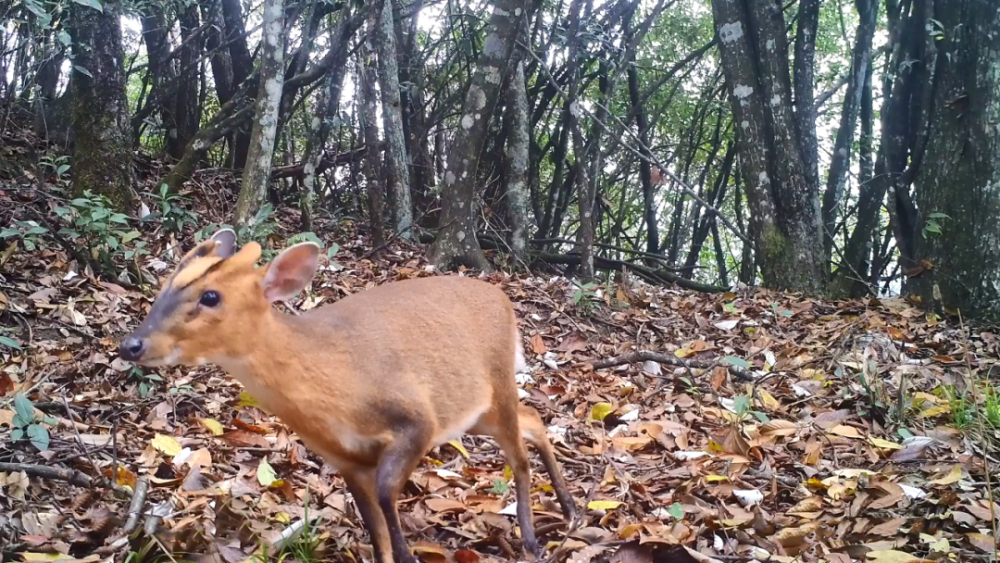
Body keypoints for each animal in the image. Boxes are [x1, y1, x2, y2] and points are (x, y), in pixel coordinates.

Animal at [120, 229, 576, 563]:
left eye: (211, 296)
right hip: (477, 412)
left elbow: (388, 495)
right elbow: (376, 535)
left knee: (519, 457)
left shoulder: (417, 417)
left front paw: (411, 555)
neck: (338, 390)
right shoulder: (346, 462)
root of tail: (504, 300)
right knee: (534, 419)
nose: (131, 345)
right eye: (165, 285)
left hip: (497, 385)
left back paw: (534, 538)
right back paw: (569, 508)